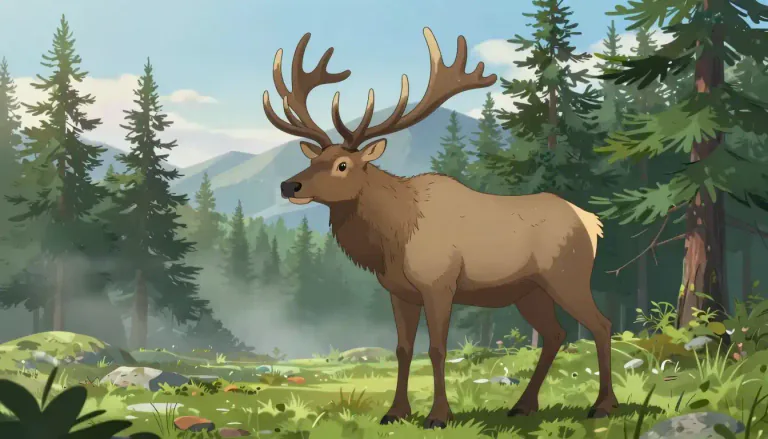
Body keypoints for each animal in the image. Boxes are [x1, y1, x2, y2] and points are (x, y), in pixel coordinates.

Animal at [262, 27, 619, 429]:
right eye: (314, 160)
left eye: (342, 165)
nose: (288, 185)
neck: (393, 237)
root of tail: (591, 222)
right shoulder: (398, 291)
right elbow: (403, 349)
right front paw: (395, 412)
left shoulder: (439, 283)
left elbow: (436, 349)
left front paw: (438, 415)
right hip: (530, 291)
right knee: (555, 333)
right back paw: (524, 404)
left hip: (567, 276)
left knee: (601, 324)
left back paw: (603, 405)